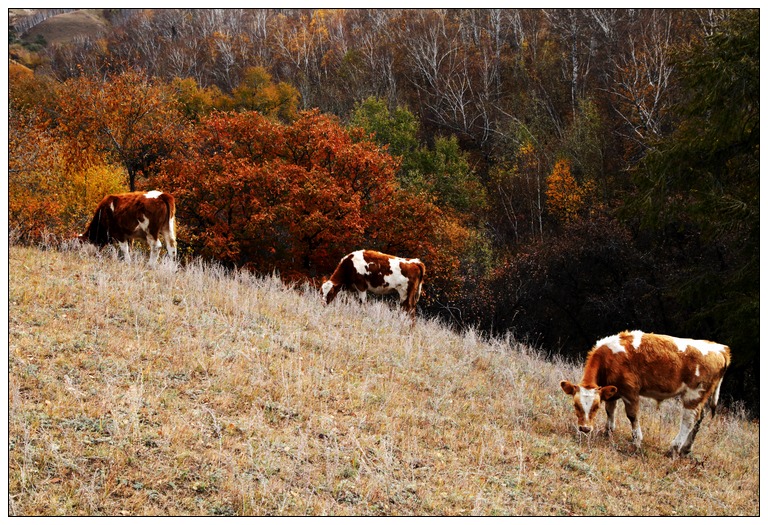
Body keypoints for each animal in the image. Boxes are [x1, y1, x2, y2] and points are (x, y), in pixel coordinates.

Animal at [560, 330, 732, 456]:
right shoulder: (612, 390)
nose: (585, 429)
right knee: (698, 420)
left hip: (693, 394)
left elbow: (632, 416)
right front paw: (608, 432)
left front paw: (636, 442)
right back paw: (686, 448)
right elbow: (610, 409)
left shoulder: (630, 391)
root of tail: (720, 348)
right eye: (576, 405)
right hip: (702, 395)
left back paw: (674, 448)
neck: (609, 356)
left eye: (595, 407)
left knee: (688, 421)